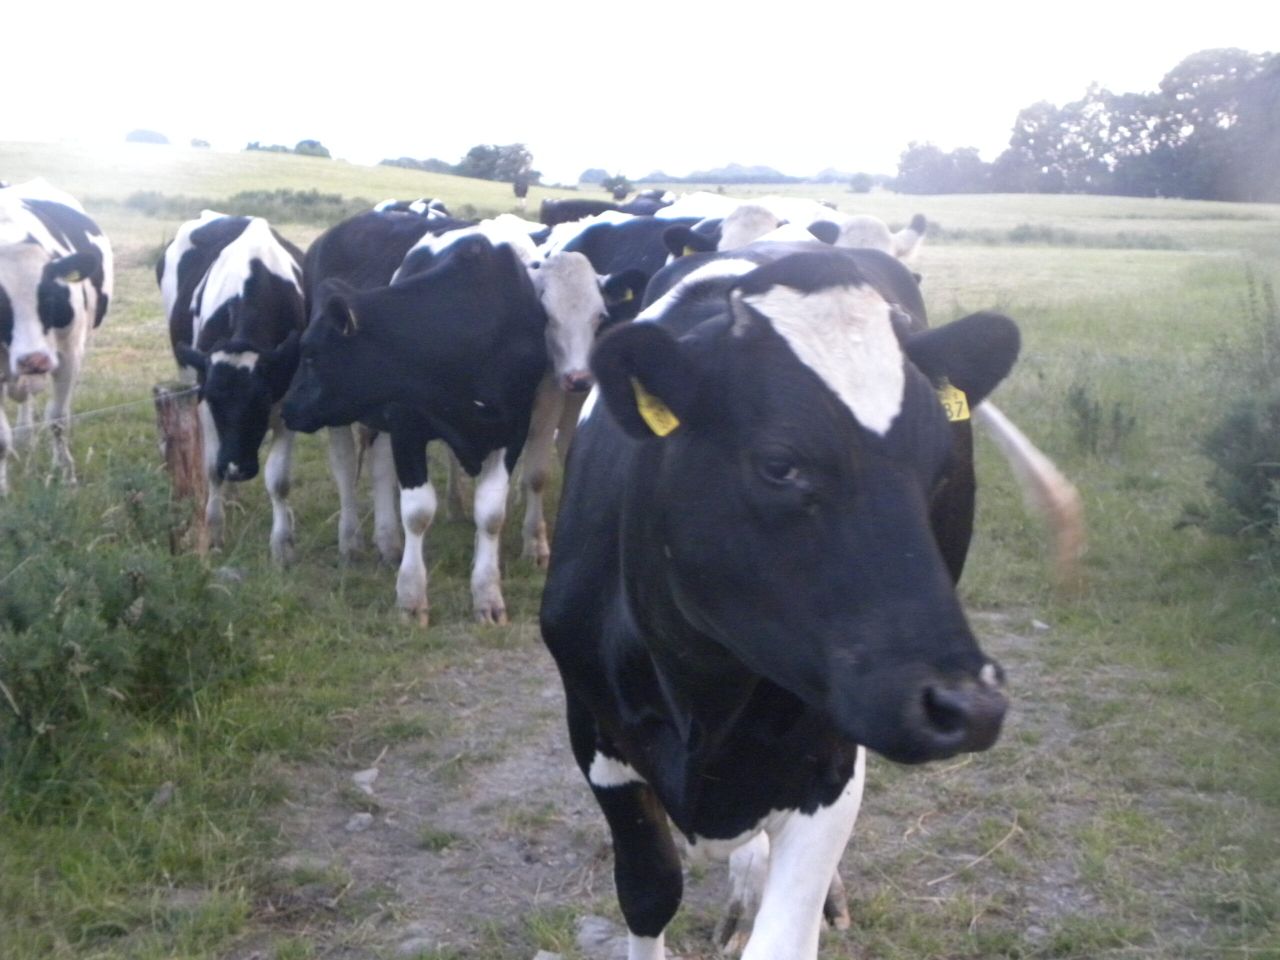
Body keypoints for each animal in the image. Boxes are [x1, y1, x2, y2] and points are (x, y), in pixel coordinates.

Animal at [0, 179, 113, 495]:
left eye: (50, 296)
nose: (34, 360)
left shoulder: (69, 354)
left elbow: (58, 419)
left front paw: (66, 474)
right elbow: (0, 437)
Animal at [159, 212, 306, 563]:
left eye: (262, 400)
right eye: (213, 399)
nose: (237, 468)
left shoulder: (286, 406)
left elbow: (278, 480)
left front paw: (281, 544)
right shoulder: (202, 400)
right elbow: (212, 468)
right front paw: (213, 530)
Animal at [541, 244, 1042, 959]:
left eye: (943, 466)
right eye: (780, 463)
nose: (968, 706)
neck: (703, 692)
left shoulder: (827, 763)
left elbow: (783, 937)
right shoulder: (595, 729)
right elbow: (647, 891)